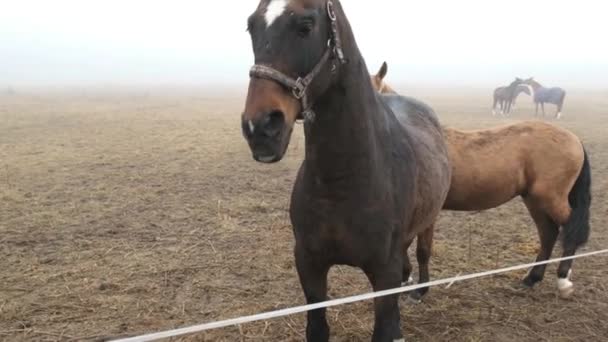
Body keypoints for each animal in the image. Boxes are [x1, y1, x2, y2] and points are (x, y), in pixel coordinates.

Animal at [241, 1, 452, 340]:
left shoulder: (383, 274)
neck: (341, 181)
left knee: (422, 250)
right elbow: (317, 328)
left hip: (429, 220)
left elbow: (385, 327)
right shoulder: (309, 265)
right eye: (251, 27)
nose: (260, 127)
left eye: (306, 25)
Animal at [368, 61, 592, 300]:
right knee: (548, 234)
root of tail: (574, 138)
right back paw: (532, 278)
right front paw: (404, 279)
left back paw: (563, 280)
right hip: (533, 200)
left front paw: (419, 289)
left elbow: (421, 250)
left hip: (550, 198)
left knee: (570, 230)